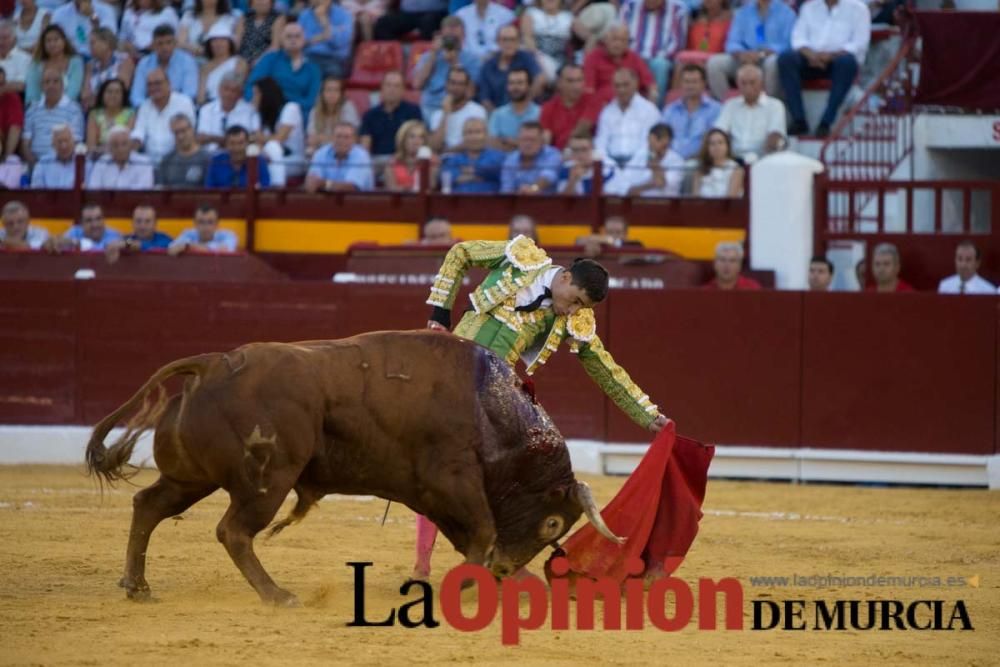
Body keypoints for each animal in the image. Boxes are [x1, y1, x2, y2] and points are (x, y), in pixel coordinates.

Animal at [88, 332, 616, 608]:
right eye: (551, 523)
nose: (507, 568)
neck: (493, 412)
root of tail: (213, 363)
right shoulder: (454, 478)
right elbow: (483, 531)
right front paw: (471, 582)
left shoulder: (431, 492)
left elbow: (470, 536)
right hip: (268, 480)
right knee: (233, 531)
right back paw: (277, 595)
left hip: (191, 477)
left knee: (148, 505)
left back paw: (137, 585)